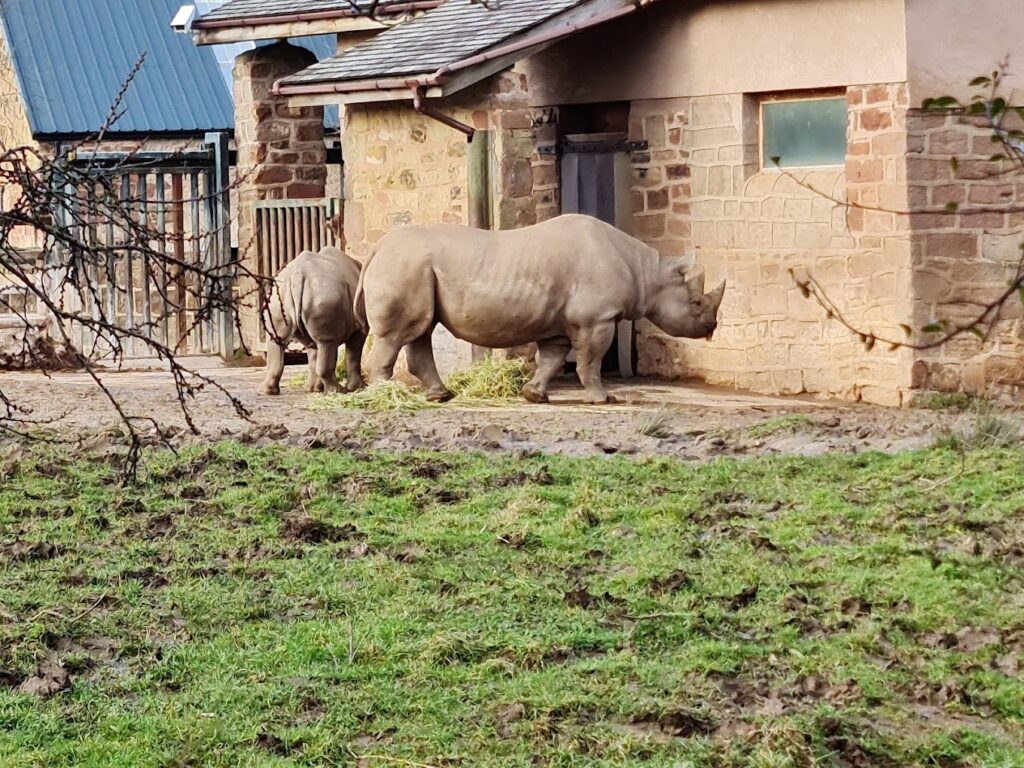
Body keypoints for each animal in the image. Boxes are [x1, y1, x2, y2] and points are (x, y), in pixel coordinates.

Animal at [258, 245, 366, 396]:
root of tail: (297, 275)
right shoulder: (360, 326)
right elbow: (354, 355)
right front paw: (358, 388)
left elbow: (313, 355)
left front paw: (315, 389)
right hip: (325, 294)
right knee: (327, 342)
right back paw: (337, 391)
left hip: (278, 294)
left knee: (279, 340)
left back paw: (267, 392)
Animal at [353, 213, 725, 404]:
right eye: (696, 304)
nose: (712, 328)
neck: (646, 271)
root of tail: (377, 249)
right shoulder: (597, 318)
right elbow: (590, 360)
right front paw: (603, 399)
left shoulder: (561, 323)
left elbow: (552, 358)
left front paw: (534, 395)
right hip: (405, 266)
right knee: (399, 334)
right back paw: (383, 397)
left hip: (414, 269)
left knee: (420, 330)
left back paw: (440, 396)